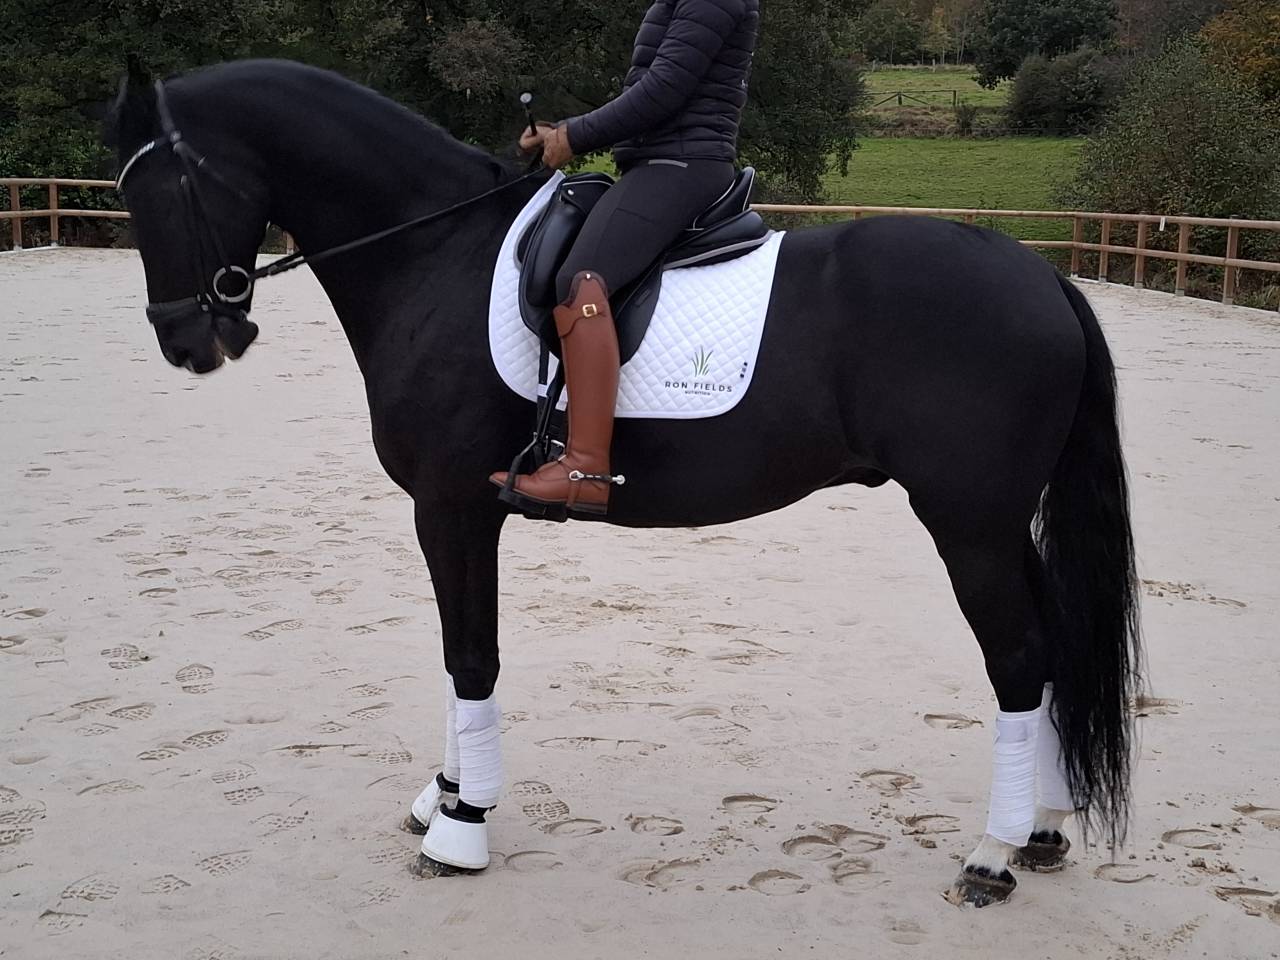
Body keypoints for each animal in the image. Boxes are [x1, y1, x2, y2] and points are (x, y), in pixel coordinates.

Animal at [107, 58, 1140, 906]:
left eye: (168, 188)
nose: (188, 342)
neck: (435, 255)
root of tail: (1043, 279)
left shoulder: (450, 508)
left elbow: (470, 656)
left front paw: (462, 829)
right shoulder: (458, 513)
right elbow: (455, 652)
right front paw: (445, 794)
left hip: (969, 525)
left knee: (1019, 661)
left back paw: (991, 856)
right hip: (1000, 526)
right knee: (1053, 650)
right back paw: (1043, 829)